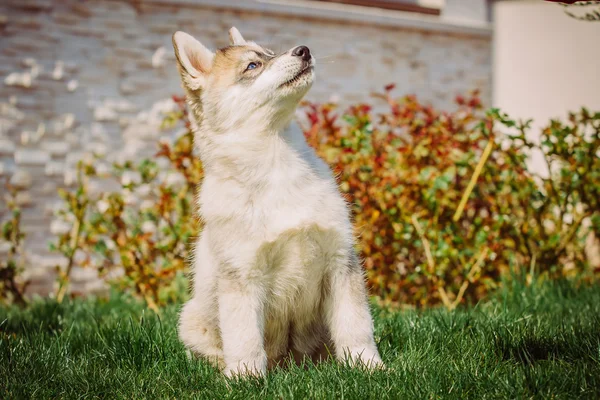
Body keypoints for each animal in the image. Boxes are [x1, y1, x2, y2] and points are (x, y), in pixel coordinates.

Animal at [171, 28, 382, 378]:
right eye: (252, 65)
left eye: (270, 53)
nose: (303, 50)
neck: (277, 162)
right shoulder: (242, 275)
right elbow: (244, 336)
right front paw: (246, 377)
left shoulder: (340, 261)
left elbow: (356, 325)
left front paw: (369, 366)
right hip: (189, 319)